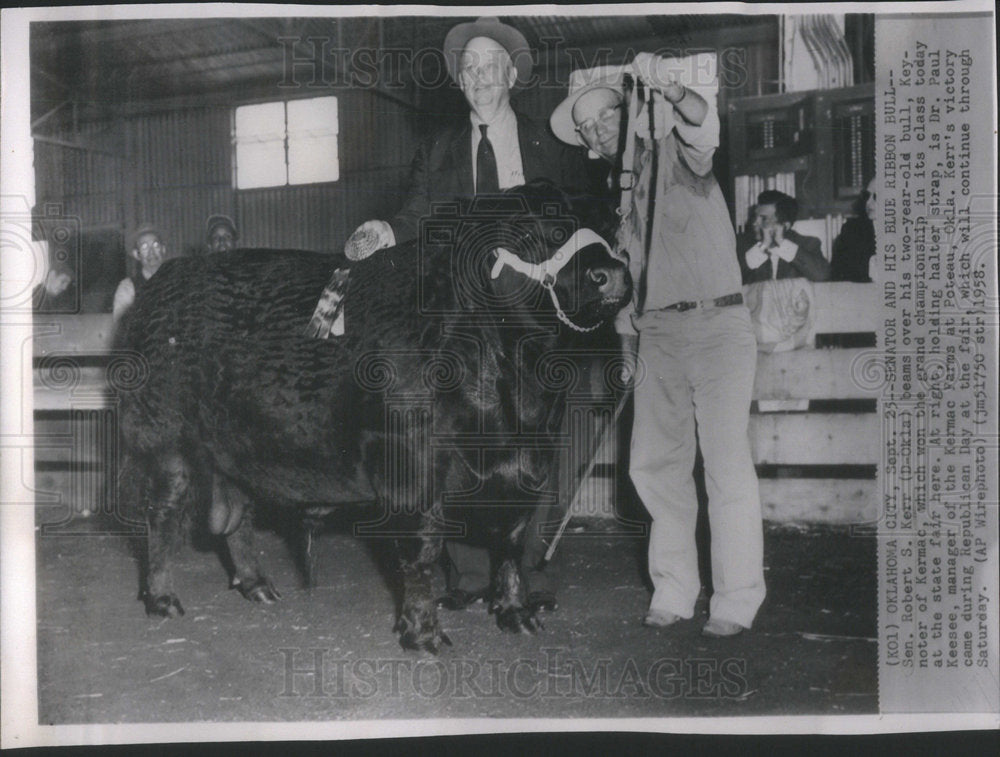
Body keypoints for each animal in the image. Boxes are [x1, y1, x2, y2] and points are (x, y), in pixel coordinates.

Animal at [119, 183, 632, 648]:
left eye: (609, 227)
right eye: (530, 229)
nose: (610, 273)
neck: (516, 392)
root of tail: (162, 282)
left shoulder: (533, 459)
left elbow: (512, 540)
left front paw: (515, 613)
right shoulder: (411, 463)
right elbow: (423, 548)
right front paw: (423, 634)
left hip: (238, 446)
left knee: (238, 515)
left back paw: (258, 586)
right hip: (161, 439)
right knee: (162, 513)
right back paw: (162, 599)